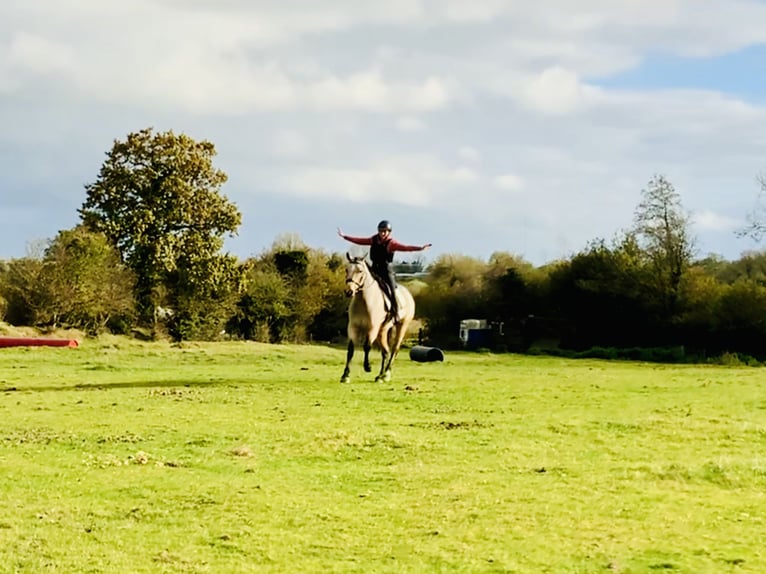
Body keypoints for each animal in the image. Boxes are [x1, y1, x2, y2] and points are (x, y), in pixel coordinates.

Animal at [340, 254, 414, 384]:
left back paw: (386, 374)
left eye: (360, 271)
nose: (349, 291)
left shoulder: (372, 328)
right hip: (382, 331)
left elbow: (367, 346)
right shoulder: (353, 327)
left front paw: (367, 367)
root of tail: (407, 294)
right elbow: (351, 350)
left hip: (402, 326)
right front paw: (345, 375)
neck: (364, 300)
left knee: (394, 349)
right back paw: (380, 376)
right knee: (385, 351)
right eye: (346, 270)